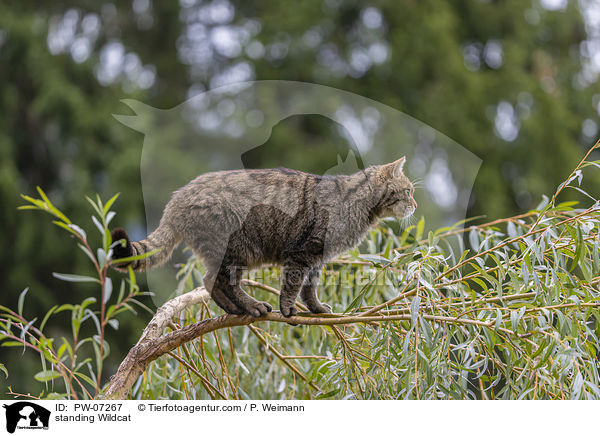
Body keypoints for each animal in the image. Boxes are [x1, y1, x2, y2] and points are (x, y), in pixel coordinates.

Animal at [110, 157, 414, 316]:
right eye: (409, 190)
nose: (415, 204)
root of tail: (175, 200)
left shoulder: (316, 259)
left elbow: (310, 288)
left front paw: (316, 308)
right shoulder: (302, 253)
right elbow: (293, 285)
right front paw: (288, 309)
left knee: (211, 282)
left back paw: (235, 309)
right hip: (237, 248)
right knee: (222, 281)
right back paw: (251, 306)